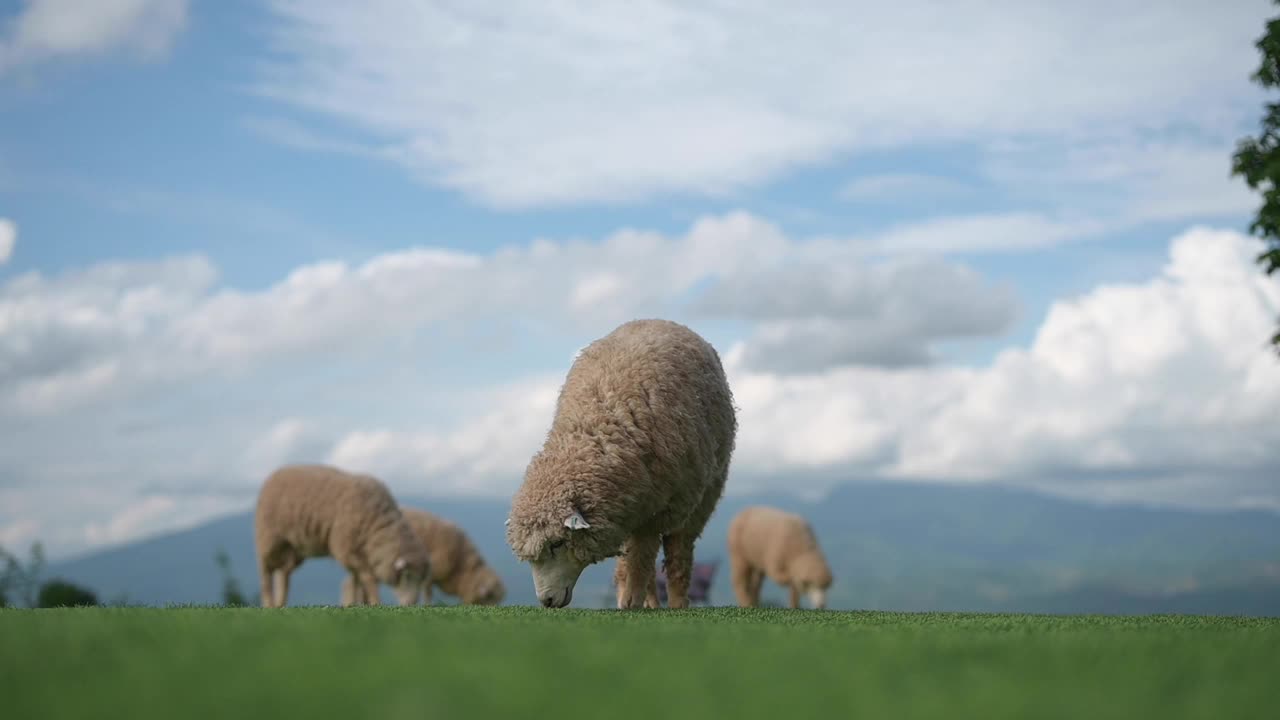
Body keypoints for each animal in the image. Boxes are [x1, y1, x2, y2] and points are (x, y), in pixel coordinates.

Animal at [252, 461, 432, 607]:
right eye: (407, 576)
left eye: (422, 578)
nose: (412, 604)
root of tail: (274, 474)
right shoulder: (345, 548)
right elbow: (367, 579)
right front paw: (374, 602)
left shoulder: (354, 551)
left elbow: (355, 580)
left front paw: (357, 603)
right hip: (269, 538)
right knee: (265, 570)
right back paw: (268, 603)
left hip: (294, 549)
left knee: (283, 574)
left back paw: (280, 603)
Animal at [504, 317, 737, 604]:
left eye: (557, 543)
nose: (546, 601)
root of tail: (658, 319)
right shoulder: (629, 509)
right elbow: (635, 563)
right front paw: (632, 599)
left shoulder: (657, 512)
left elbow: (644, 561)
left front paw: (632, 602)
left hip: (701, 498)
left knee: (678, 557)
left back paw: (677, 601)